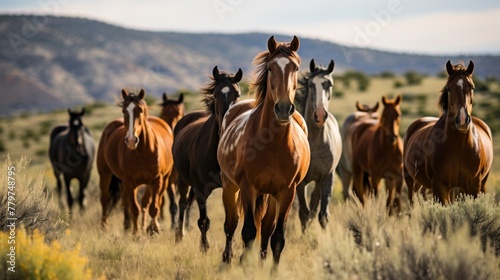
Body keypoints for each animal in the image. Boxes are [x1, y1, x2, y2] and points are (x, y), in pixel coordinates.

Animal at [97, 89, 174, 234]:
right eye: (124, 111)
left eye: (141, 110)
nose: (131, 140)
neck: (142, 152)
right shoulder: (129, 182)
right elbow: (134, 208)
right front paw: (136, 234)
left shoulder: (156, 180)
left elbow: (153, 207)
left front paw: (153, 229)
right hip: (105, 173)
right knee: (105, 200)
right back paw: (104, 227)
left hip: (163, 180)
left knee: (149, 202)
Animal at [172, 66, 242, 252]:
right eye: (216, 94)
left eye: (238, 94)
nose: (227, 122)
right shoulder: (201, 189)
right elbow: (203, 221)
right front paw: (204, 247)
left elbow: (232, 220)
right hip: (183, 180)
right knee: (183, 203)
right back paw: (179, 235)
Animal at [218, 35, 310, 266]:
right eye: (270, 67)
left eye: (295, 68)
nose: (284, 108)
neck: (273, 144)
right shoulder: (248, 187)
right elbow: (249, 232)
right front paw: (244, 265)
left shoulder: (287, 192)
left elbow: (277, 237)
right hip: (230, 185)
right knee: (231, 224)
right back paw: (227, 260)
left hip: (271, 195)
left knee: (267, 229)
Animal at [402, 60, 492, 205]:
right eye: (449, 88)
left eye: (472, 87)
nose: (462, 120)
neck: (459, 146)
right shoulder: (439, 185)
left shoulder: (473, 185)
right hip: (411, 182)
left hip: (480, 184)